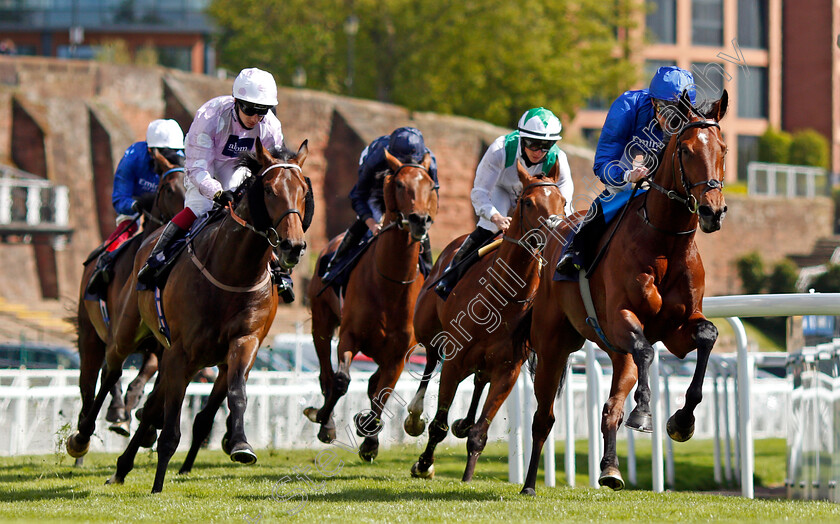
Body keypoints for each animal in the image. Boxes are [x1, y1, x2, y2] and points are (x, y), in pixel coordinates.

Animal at [73, 149, 184, 444]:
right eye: (169, 188)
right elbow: (111, 375)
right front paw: (120, 413)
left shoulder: (161, 343)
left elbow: (146, 378)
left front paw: (146, 420)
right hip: (91, 333)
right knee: (90, 380)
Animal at [304, 149, 436, 460]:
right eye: (399, 184)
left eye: (430, 185)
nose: (419, 220)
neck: (390, 283)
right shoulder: (349, 337)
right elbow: (341, 380)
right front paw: (325, 421)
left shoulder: (398, 354)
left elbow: (382, 392)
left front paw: (369, 439)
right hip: (322, 323)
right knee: (326, 374)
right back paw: (326, 421)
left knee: (372, 384)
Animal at [406, 162, 564, 482]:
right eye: (528, 203)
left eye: (563, 202)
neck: (502, 296)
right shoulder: (454, 362)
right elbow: (438, 425)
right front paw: (424, 464)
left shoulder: (508, 370)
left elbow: (480, 433)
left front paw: (467, 478)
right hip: (429, 329)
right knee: (430, 360)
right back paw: (415, 416)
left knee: (479, 380)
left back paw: (463, 422)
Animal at [520, 91, 728, 496]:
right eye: (687, 149)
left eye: (723, 149)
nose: (713, 211)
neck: (666, 242)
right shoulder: (621, 318)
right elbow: (646, 349)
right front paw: (644, 412)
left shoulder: (677, 328)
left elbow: (707, 335)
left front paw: (682, 420)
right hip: (553, 345)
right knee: (543, 416)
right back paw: (529, 484)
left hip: (616, 354)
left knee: (609, 409)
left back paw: (611, 469)